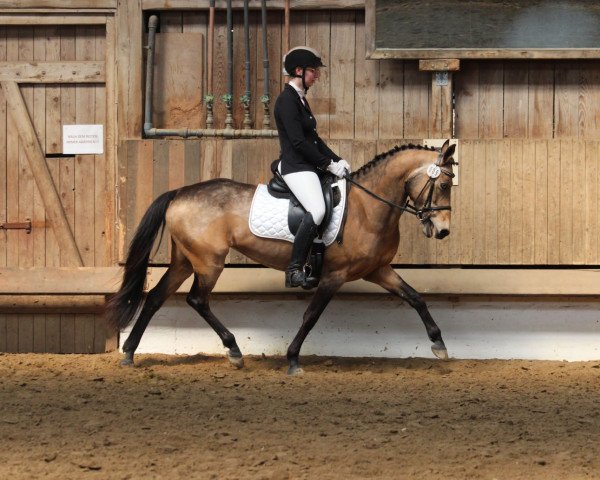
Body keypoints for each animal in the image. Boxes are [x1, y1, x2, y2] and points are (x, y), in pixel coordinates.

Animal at [105, 140, 458, 376]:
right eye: (443, 183)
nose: (442, 231)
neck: (367, 207)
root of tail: (179, 192)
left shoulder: (378, 270)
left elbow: (415, 298)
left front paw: (439, 344)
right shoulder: (334, 276)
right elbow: (311, 316)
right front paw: (292, 358)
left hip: (185, 260)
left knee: (155, 297)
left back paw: (129, 353)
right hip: (209, 262)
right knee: (197, 300)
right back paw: (234, 350)